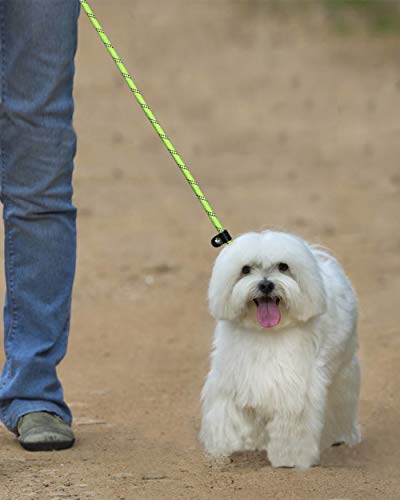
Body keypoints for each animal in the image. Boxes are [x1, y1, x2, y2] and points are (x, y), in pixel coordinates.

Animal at [202, 230, 360, 468]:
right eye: (245, 269)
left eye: (283, 266)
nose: (266, 285)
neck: (266, 333)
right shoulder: (232, 380)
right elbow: (225, 416)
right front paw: (223, 448)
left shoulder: (293, 389)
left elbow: (292, 427)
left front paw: (291, 459)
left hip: (343, 371)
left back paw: (341, 437)